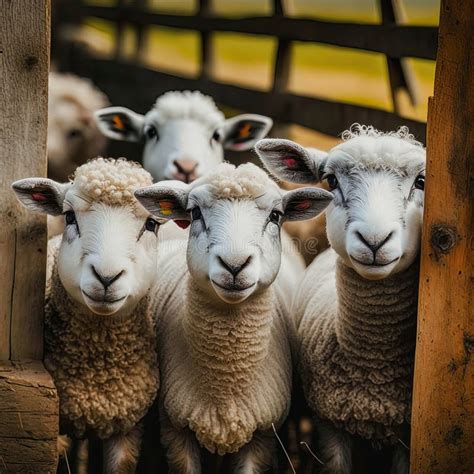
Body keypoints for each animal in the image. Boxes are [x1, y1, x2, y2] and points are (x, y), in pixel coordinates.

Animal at [133, 162, 334, 470]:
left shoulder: (261, 434)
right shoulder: (177, 431)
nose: (234, 265)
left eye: (275, 215)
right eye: (195, 213)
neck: (227, 383)